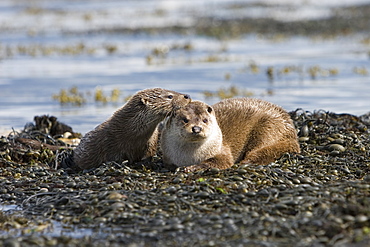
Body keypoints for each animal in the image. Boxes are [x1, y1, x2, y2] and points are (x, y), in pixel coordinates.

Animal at [160, 98, 300, 172]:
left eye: (205, 120)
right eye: (185, 119)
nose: (196, 128)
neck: (189, 157)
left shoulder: (222, 150)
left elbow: (222, 162)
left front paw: (193, 168)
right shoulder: (168, 157)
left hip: (269, 128)